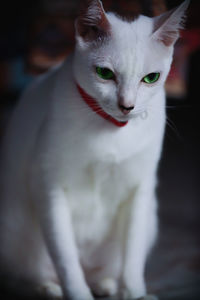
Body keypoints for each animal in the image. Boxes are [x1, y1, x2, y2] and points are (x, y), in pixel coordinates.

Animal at [0, 0, 189, 300]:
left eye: (151, 78)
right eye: (104, 73)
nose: (127, 106)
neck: (112, 129)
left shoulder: (141, 189)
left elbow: (133, 256)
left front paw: (135, 292)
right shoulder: (49, 187)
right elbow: (66, 257)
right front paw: (78, 294)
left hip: (150, 218)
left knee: (105, 269)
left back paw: (106, 285)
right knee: (23, 275)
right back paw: (48, 288)